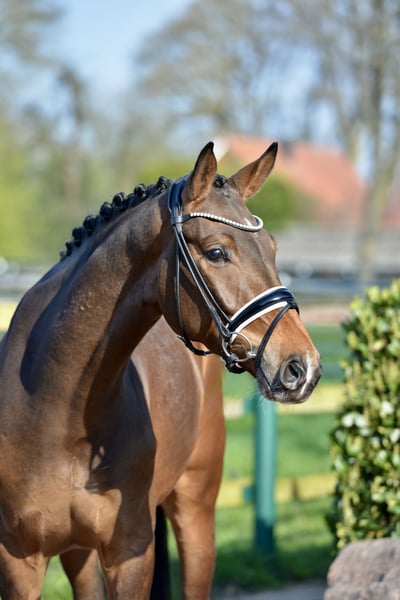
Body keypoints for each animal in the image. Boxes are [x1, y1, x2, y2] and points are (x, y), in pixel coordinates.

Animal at [0, 141, 321, 599]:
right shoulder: (20, 561)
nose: (302, 366)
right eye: (217, 252)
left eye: (273, 247)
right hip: (78, 553)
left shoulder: (131, 554)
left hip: (196, 511)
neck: (53, 408)